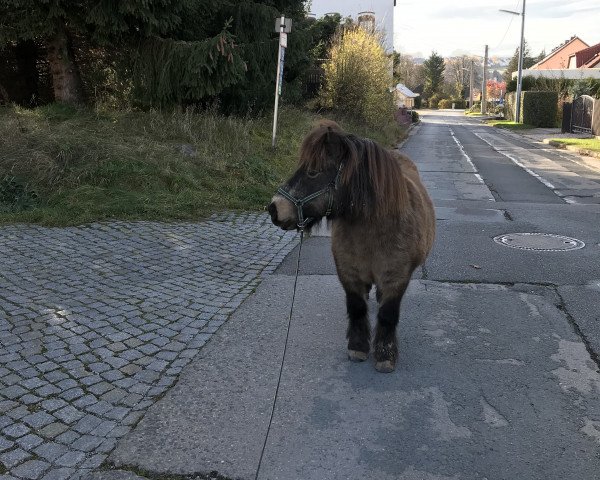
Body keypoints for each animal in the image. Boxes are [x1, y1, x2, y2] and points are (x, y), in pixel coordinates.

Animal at [270, 120, 434, 372]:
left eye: (313, 172)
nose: (274, 209)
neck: (374, 230)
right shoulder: (349, 274)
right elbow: (357, 308)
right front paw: (358, 347)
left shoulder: (396, 278)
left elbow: (387, 314)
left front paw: (385, 354)